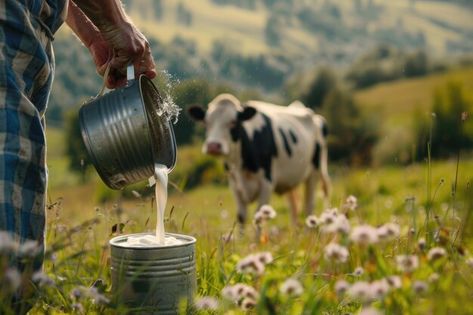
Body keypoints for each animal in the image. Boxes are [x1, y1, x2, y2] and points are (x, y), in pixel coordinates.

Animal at [187, 93, 328, 230]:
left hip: (314, 172)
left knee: (309, 206)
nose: (213, 146)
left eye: (233, 122)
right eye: (206, 122)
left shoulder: (267, 183)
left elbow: (259, 217)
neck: (241, 166)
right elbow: (241, 217)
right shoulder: (235, 185)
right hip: (290, 179)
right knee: (293, 207)